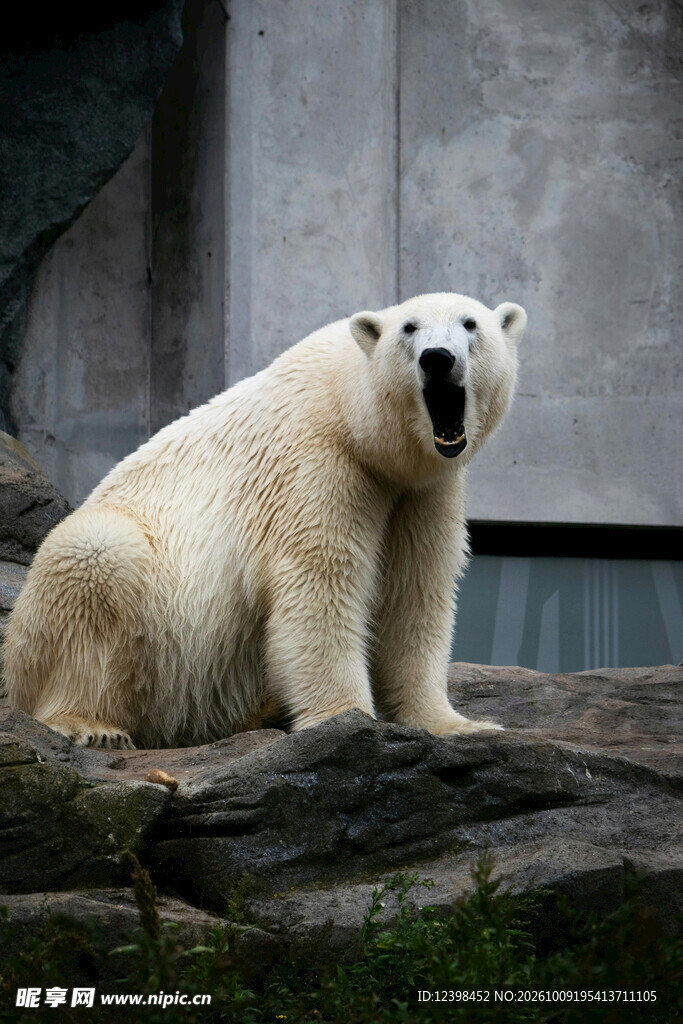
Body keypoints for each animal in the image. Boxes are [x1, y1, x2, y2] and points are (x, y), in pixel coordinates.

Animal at [3, 292, 526, 749]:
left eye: (470, 324)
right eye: (409, 328)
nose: (437, 358)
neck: (349, 408)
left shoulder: (421, 493)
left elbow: (414, 592)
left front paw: (459, 724)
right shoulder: (316, 465)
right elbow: (319, 584)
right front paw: (347, 718)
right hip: (140, 626)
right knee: (95, 556)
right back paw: (91, 724)